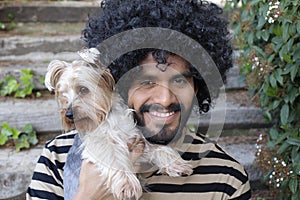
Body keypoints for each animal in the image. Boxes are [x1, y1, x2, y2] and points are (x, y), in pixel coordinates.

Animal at [44, 48, 192, 200]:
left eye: (83, 89)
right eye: (63, 95)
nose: (68, 114)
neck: (108, 117)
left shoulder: (136, 139)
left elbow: (156, 148)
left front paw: (176, 163)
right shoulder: (99, 144)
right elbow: (113, 156)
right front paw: (127, 184)